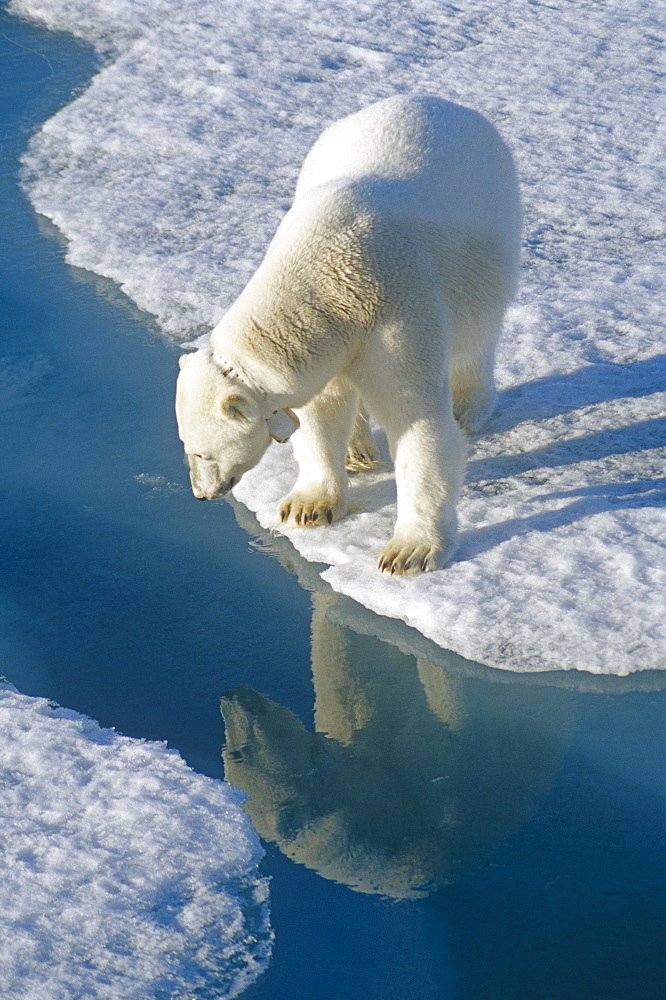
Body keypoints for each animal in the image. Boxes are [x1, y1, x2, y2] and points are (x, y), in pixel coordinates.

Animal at [175, 99, 520, 580]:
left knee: (478, 334)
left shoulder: (399, 303)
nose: (202, 494)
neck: (329, 271)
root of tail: (440, 101)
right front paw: (309, 506)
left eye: (201, 453)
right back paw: (358, 451)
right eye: (188, 448)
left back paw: (469, 407)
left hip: (490, 226)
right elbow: (319, 411)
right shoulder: (329, 333)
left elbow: (416, 418)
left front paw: (409, 551)